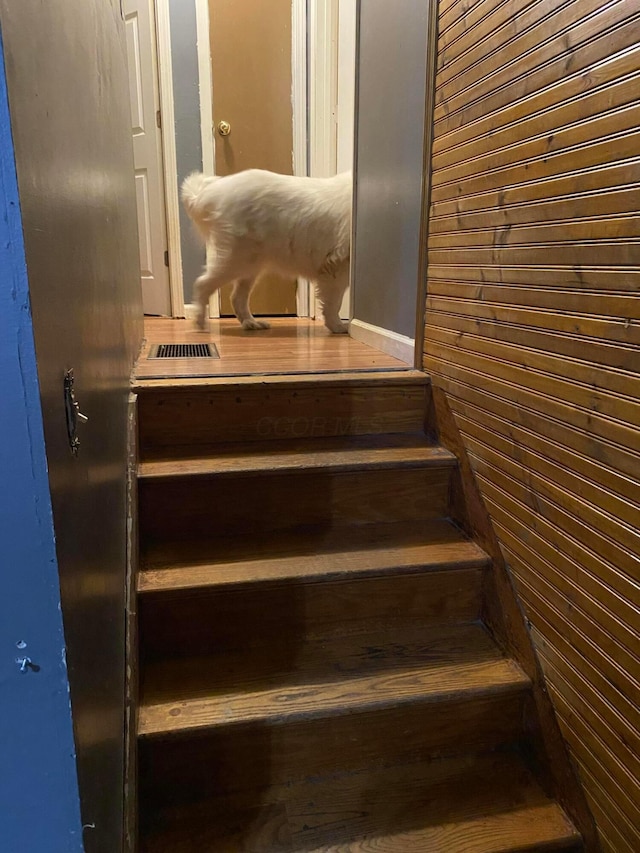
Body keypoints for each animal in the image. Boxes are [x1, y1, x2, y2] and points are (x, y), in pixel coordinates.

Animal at [180, 169, 352, 332]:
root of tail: (211, 193)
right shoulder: (337, 268)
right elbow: (334, 304)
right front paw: (338, 327)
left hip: (249, 266)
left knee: (237, 298)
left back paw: (251, 323)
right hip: (234, 261)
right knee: (202, 284)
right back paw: (200, 322)